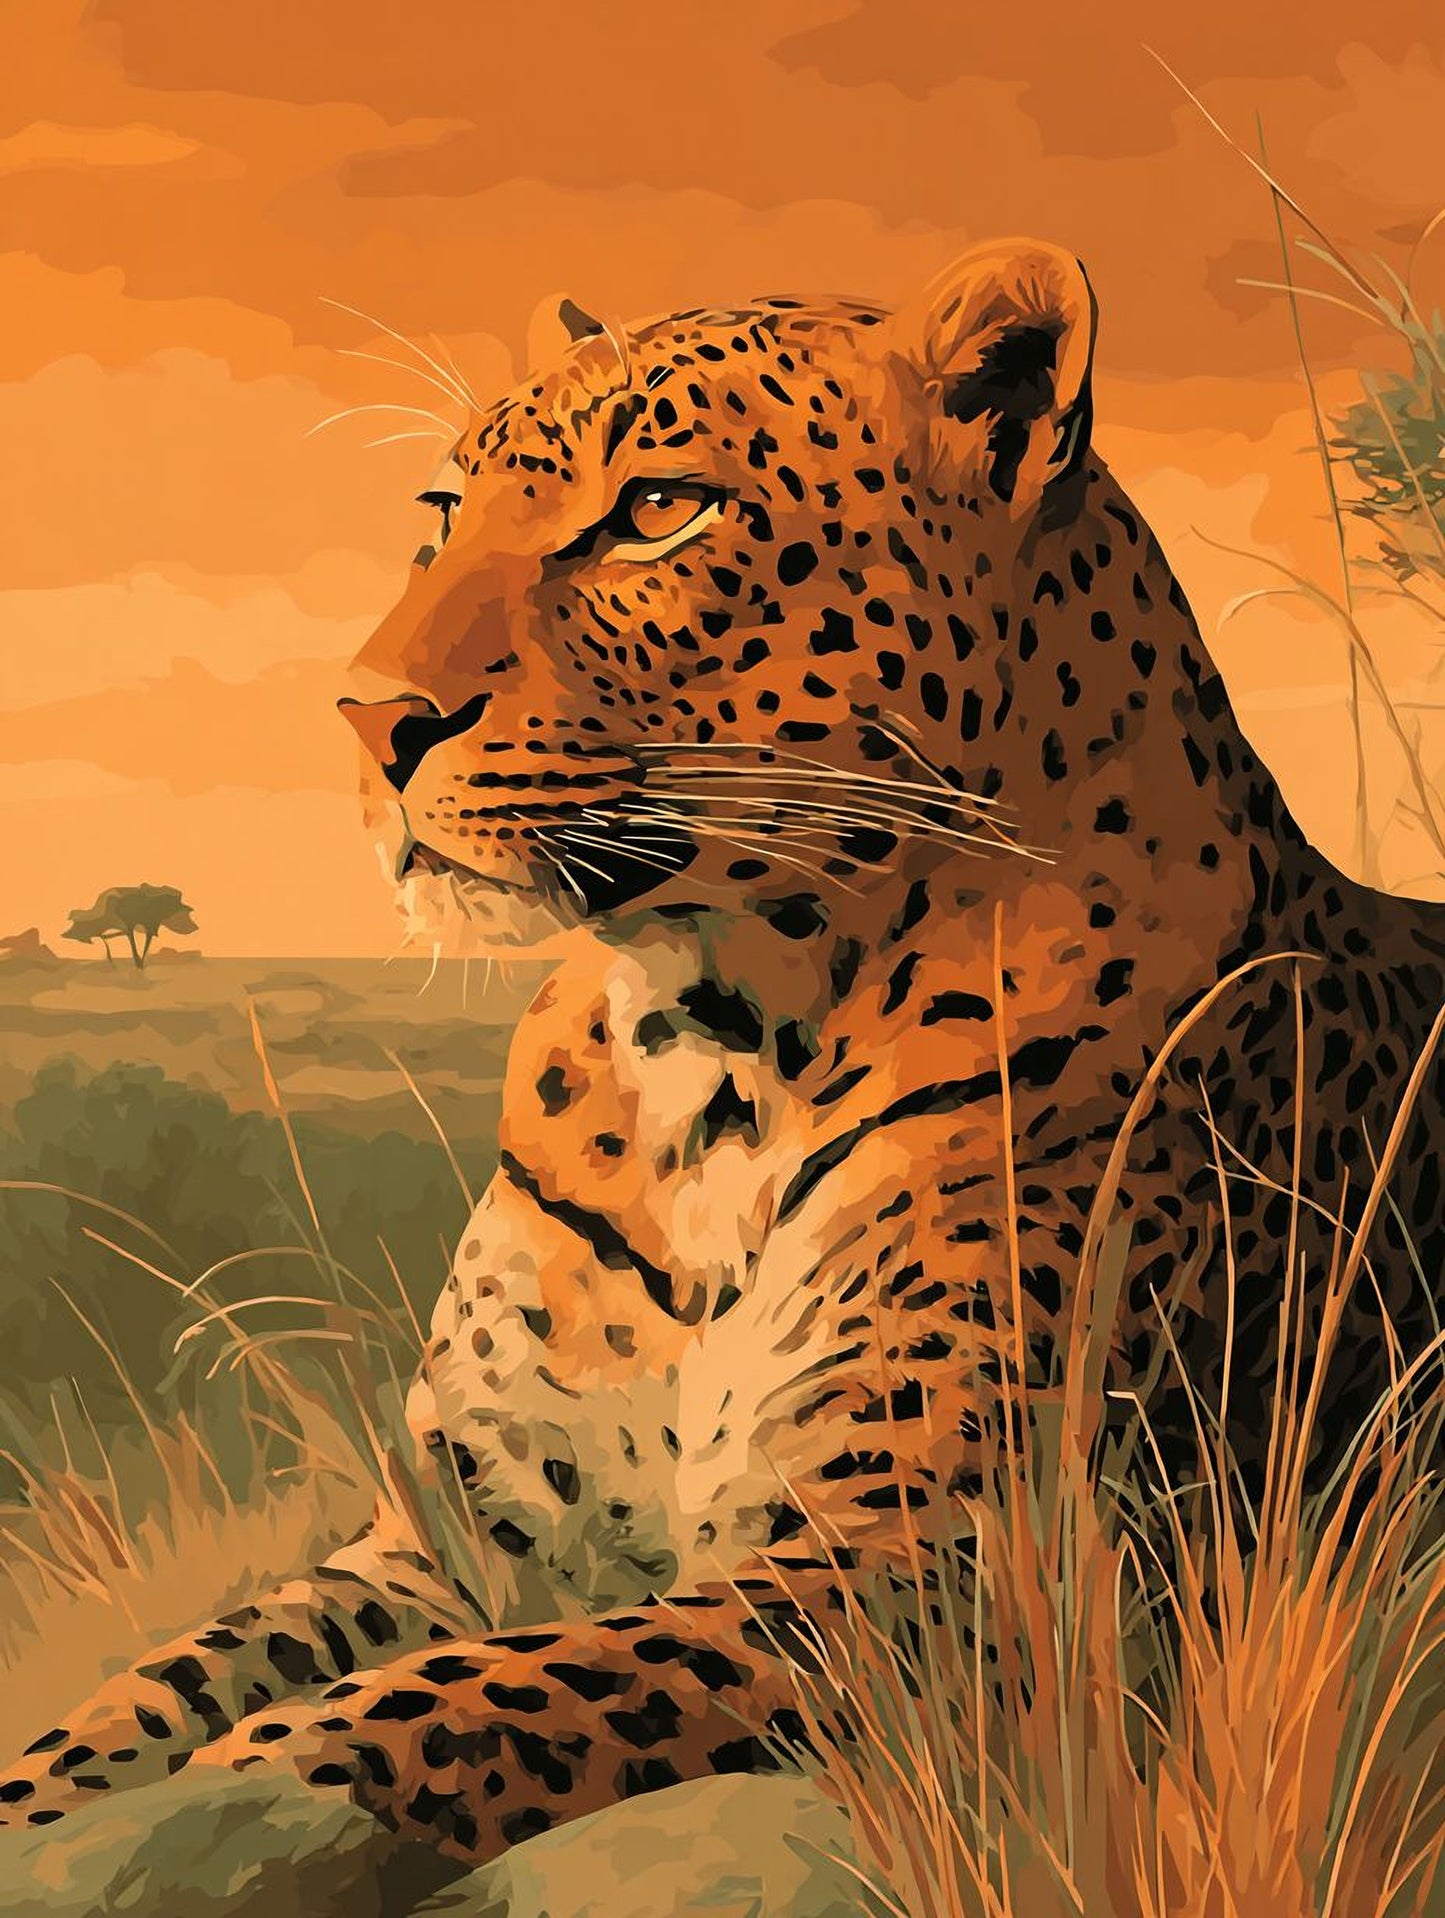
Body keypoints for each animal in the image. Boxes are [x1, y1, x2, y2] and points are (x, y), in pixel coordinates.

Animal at [4, 238, 1443, 1872]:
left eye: (656, 509)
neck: (699, 1056)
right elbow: (163, 1685)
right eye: (442, 513)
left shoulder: (927, 1566)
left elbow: (470, 1695)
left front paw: (243, 1801)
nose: (368, 720)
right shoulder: (438, 1531)